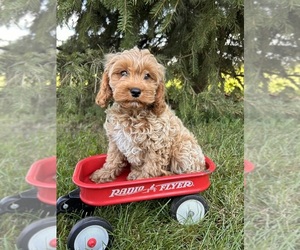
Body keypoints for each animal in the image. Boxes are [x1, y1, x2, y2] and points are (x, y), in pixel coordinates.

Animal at [90, 47, 205, 184]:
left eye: (147, 76)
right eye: (123, 73)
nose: (135, 91)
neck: (133, 113)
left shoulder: (157, 143)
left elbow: (151, 166)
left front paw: (143, 179)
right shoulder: (116, 140)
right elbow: (113, 159)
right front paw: (104, 174)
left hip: (183, 150)